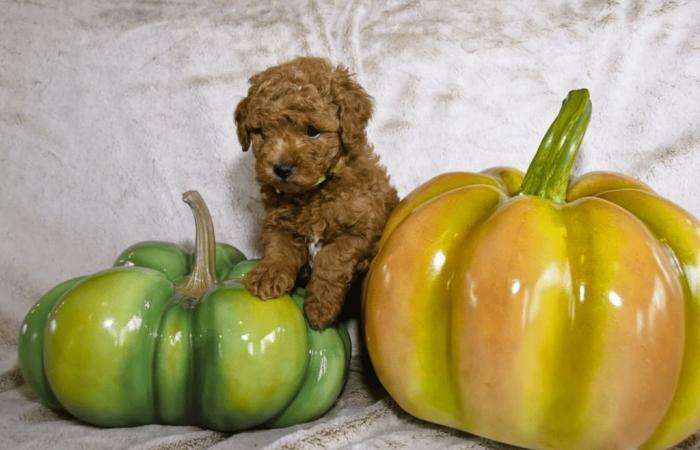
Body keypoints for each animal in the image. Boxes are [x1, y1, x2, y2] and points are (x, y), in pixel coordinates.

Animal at [235, 57, 400, 330]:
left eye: (312, 131)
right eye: (263, 132)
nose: (281, 168)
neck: (313, 192)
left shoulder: (360, 230)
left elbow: (331, 260)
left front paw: (320, 307)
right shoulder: (279, 223)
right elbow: (278, 249)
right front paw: (268, 274)